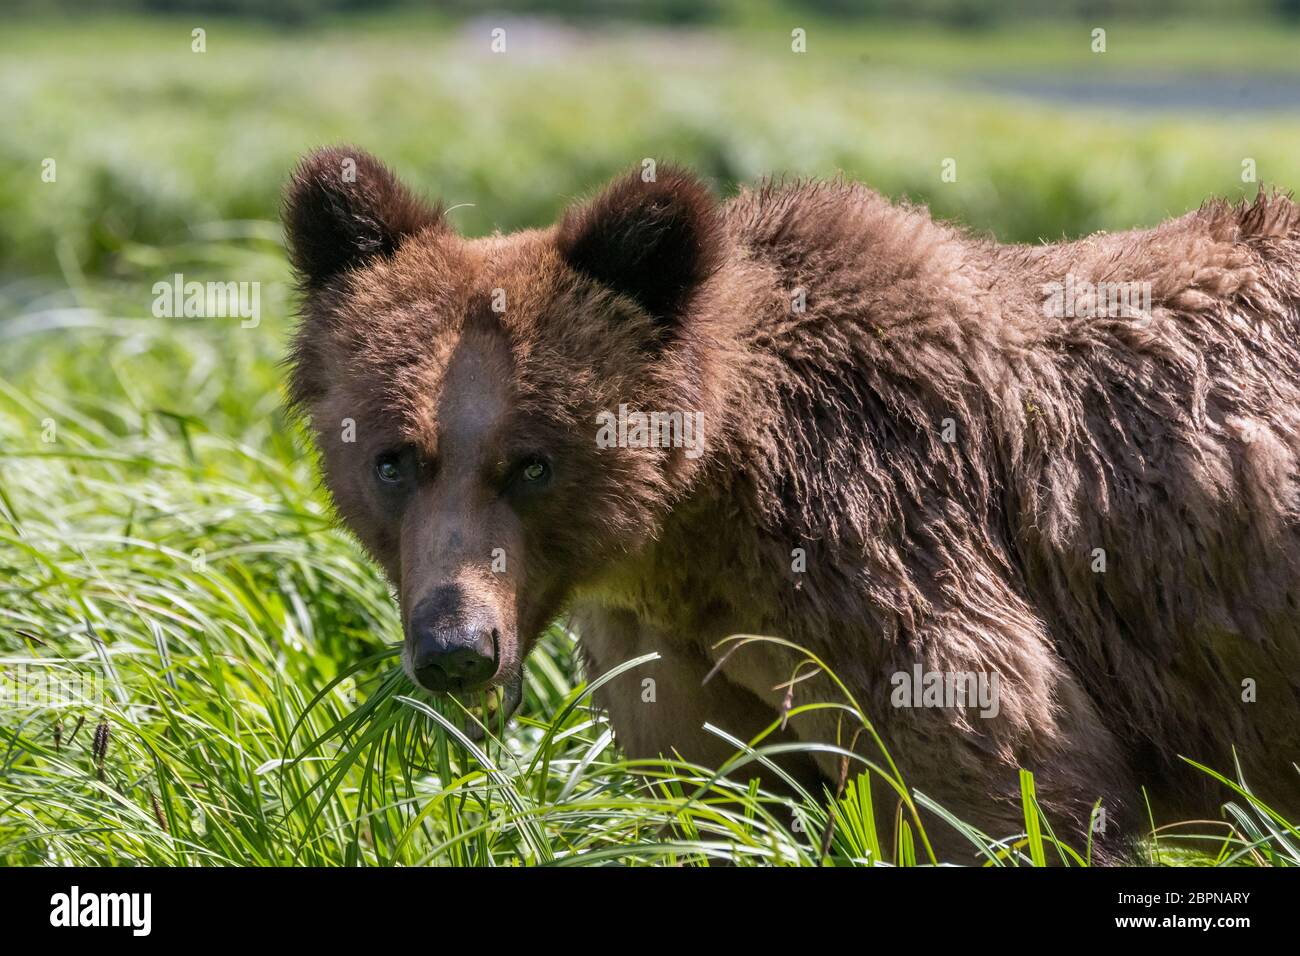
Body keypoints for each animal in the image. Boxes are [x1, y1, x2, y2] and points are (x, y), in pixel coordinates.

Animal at [282, 145, 1300, 863]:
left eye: (531, 465)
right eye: (394, 460)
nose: (455, 646)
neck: (696, 534)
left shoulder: (882, 562)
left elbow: (997, 787)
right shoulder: (675, 655)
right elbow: (712, 803)